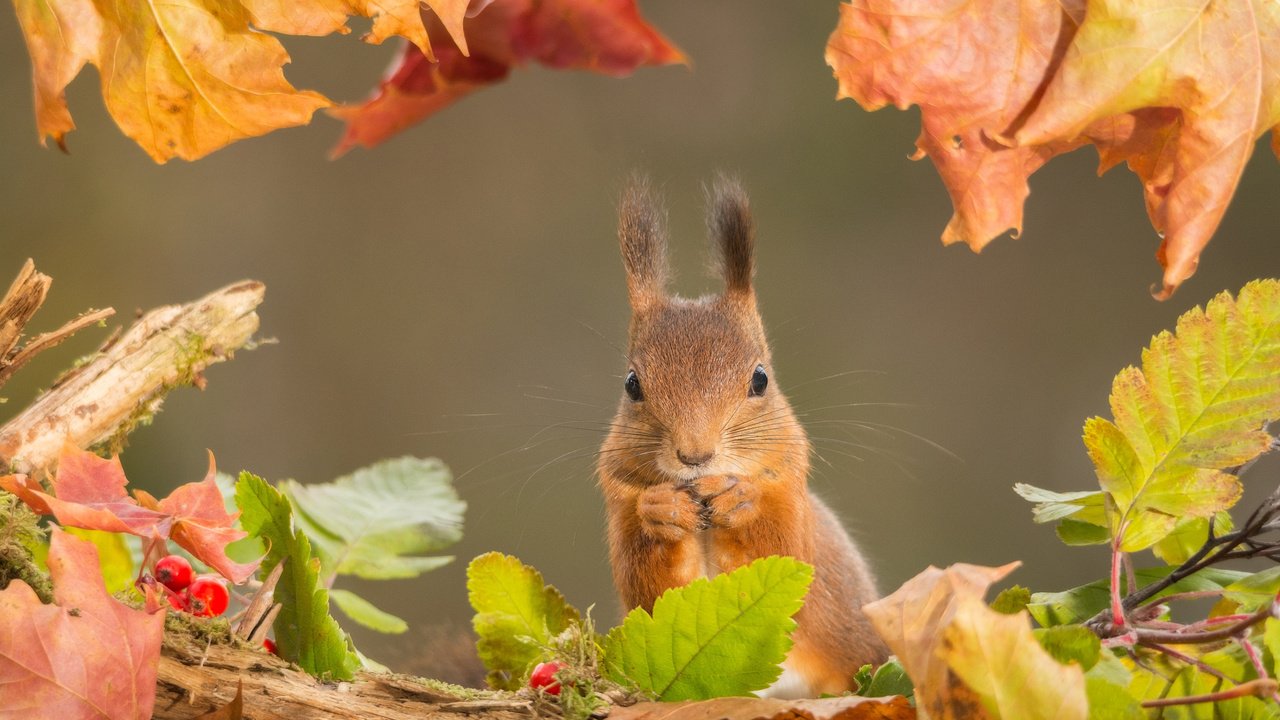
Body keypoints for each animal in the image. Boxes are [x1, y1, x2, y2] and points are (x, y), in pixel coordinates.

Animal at [593, 175, 885, 696]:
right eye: (632, 384)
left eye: (760, 379)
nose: (695, 455)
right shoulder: (619, 501)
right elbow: (652, 592)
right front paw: (660, 510)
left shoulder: (790, 492)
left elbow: (781, 553)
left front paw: (740, 499)